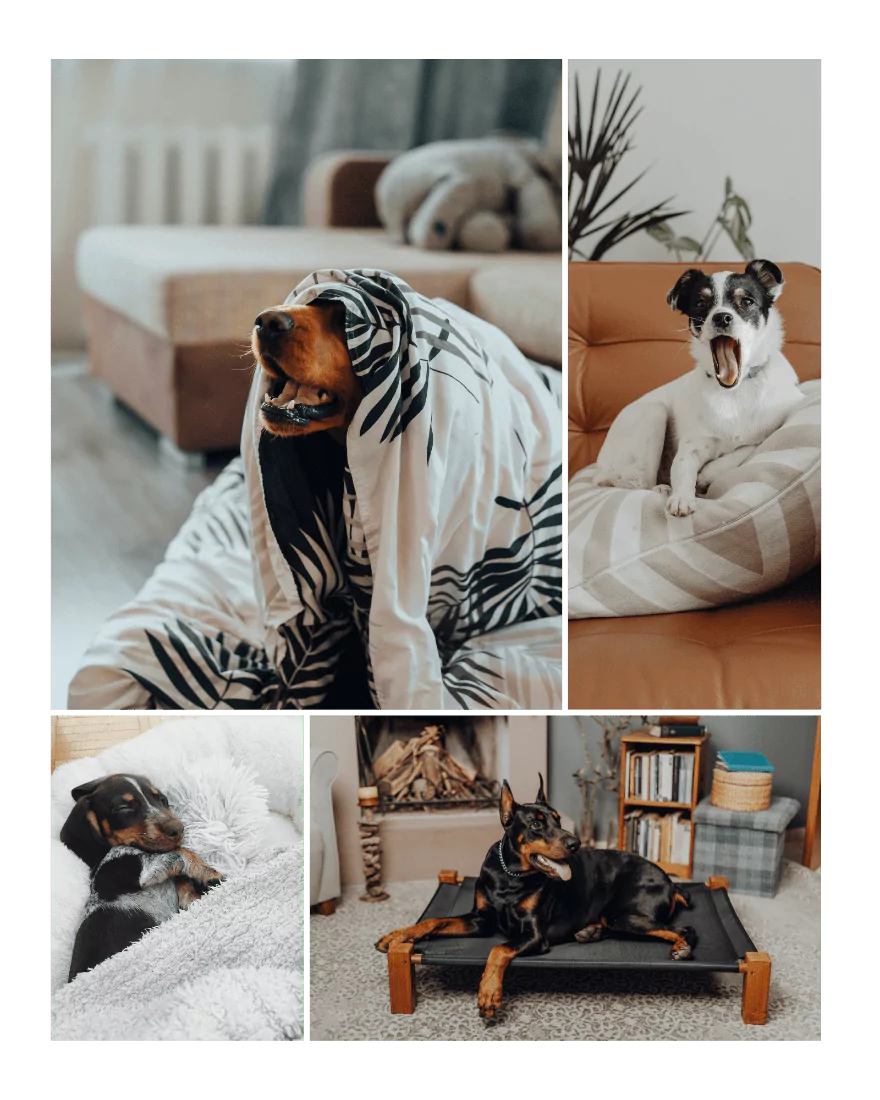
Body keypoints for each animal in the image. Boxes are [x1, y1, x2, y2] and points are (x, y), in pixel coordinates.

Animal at [59, 774, 222, 981]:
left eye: (162, 800)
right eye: (122, 807)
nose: (178, 829)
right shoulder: (141, 870)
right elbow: (180, 852)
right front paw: (208, 873)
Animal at [374, 778, 690, 1016]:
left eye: (558, 820)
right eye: (536, 824)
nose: (575, 843)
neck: (510, 876)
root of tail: (671, 883)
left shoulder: (535, 935)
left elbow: (497, 949)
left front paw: (489, 993)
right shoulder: (480, 920)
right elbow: (434, 920)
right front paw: (396, 936)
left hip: (623, 914)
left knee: (684, 929)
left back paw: (683, 948)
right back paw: (589, 932)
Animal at [589, 259, 805, 517]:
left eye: (747, 301)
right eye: (701, 304)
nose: (721, 317)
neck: (733, 392)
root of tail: (599, 468)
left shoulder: (767, 430)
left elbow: (745, 448)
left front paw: (708, 474)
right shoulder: (689, 450)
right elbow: (682, 470)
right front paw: (682, 496)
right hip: (653, 413)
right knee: (638, 481)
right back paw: (662, 488)